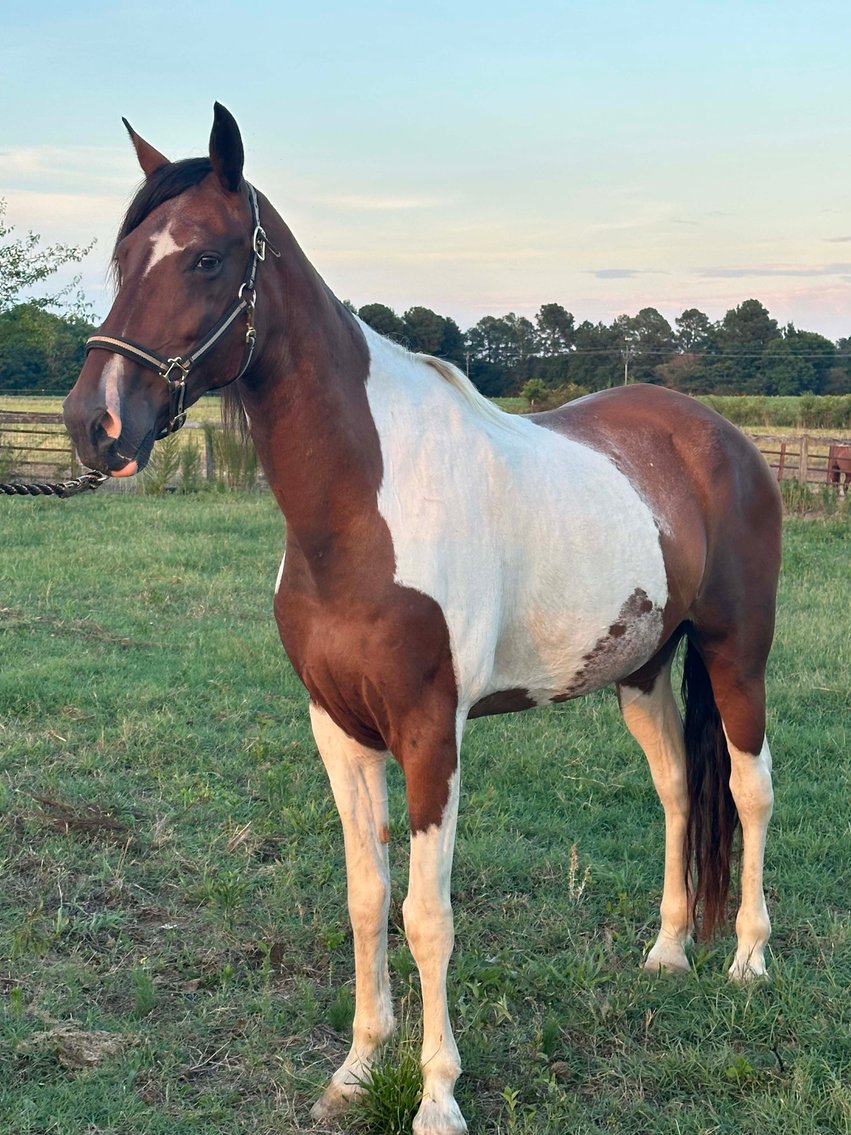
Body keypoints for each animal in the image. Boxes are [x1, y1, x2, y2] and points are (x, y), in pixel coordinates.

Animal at [63, 104, 781, 1135]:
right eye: (123, 259)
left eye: (203, 258)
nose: (96, 425)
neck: (364, 504)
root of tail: (718, 435)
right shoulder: (338, 727)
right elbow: (367, 899)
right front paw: (360, 1067)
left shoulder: (428, 732)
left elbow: (425, 913)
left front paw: (437, 1093)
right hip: (641, 672)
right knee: (681, 791)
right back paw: (668, 951)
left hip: (736, 655)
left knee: (750, 791)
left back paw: (749, 958)